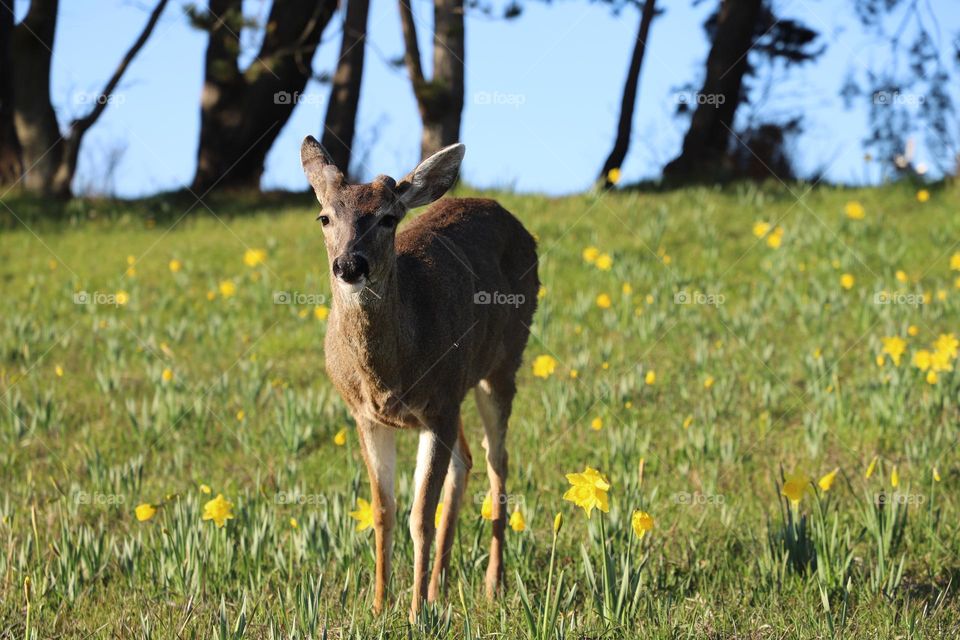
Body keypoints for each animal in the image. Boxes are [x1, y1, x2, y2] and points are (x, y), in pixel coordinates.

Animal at [300, 136, 540, 620]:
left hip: (502, 364)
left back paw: (492, 584)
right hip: (460, 390)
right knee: (466, 460)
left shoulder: (438, 407)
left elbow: (419, 516)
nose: (349, 265)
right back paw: (438, 586)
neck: (387, 377)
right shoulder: (365, 416)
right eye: (324, 216)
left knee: (497, 462)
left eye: (388, 218)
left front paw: (413, 614)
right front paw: (378, 606)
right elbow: (383, 510)